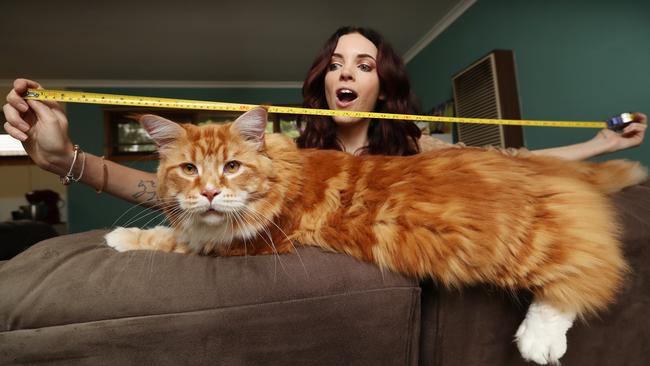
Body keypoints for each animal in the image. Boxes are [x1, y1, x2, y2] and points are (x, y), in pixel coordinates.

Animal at [105, 107, 644, 364]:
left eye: (232, 167)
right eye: (189, 169)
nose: (212, 192)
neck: (282, 173)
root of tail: (549, 170)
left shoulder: (253, 242)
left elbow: (175, 240)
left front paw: (118, 238)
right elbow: (175, 229)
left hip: (526, 240)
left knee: (589, 269)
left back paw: (540, 340)